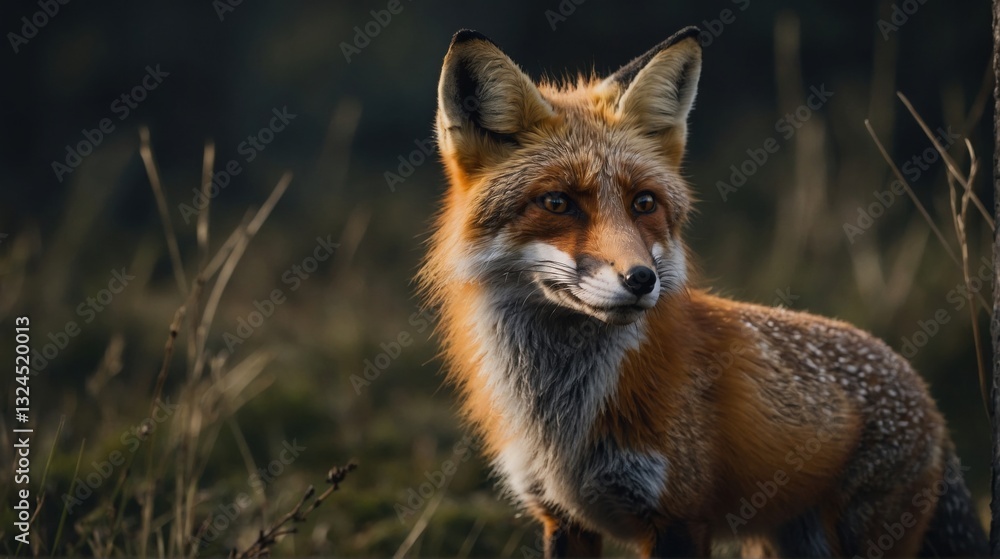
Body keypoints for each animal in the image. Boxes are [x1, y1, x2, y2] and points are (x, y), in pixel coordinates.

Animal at [417, 26, 989, 558]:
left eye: (644, 203)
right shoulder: (562, 517)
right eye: (557, 203)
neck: (565, 422)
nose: (641, 279)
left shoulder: (679, 516)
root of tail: (921, 388)